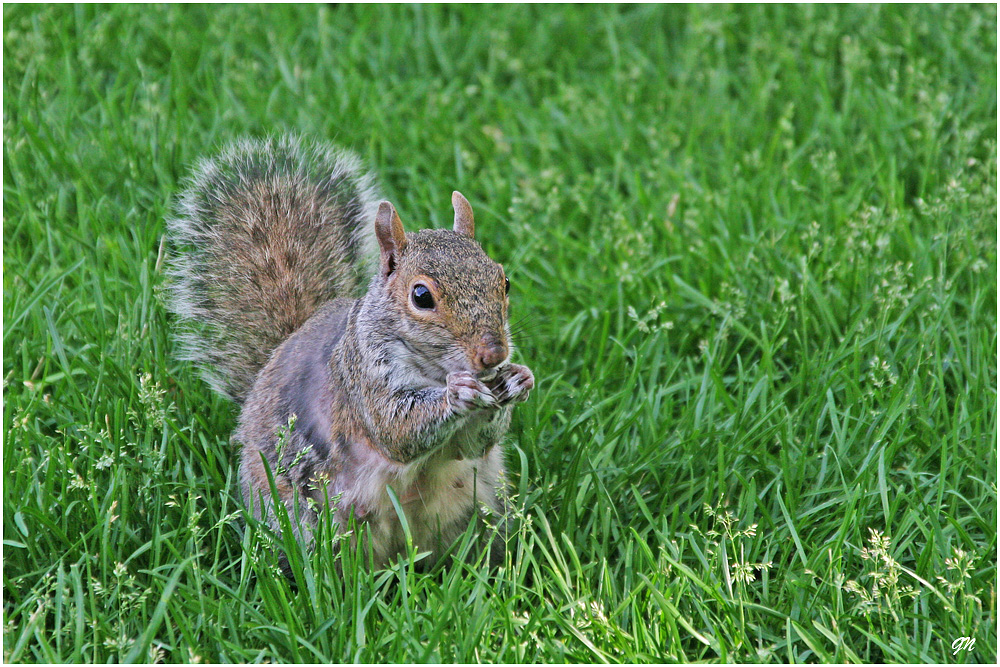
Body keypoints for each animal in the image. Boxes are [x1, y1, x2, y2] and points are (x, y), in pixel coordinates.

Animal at [168, 134, 536, 568]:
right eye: (421, 296)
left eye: (504, 281)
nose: (494, 355)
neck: (434, 368)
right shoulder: (362, 376)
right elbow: (395, 430)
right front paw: (456, 394)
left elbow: (472, 445)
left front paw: (519, 379)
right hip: (302, 517)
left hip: (477, 509)